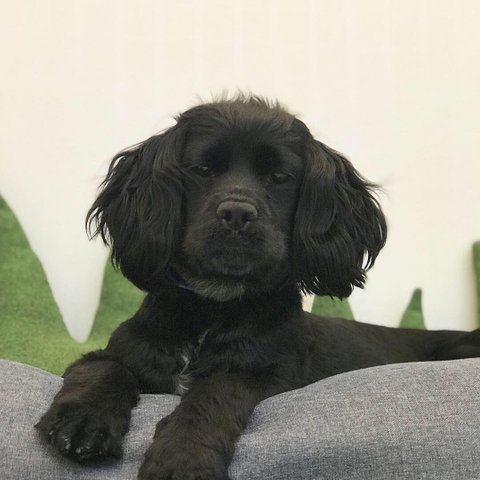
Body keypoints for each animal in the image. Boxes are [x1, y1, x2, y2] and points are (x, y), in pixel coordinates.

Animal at [36, 96, 480, 480]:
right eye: (202, 170)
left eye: (280, 177)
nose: (236, 212)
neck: (214, 308)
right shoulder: (126, 348)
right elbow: (102, 366)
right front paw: (82, 422)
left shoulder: (270, 374)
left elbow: (216, 390)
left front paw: (183, 456)